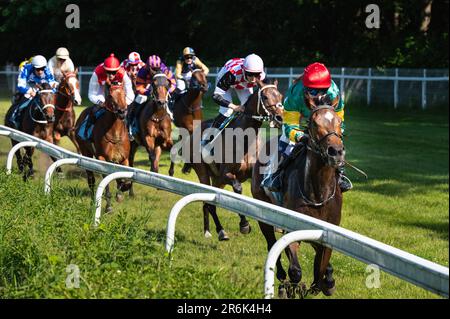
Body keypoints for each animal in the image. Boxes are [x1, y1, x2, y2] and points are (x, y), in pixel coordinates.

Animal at [74, 83, 131, 212]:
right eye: (110, 95)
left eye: (124, 94)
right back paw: (92, 202)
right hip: (86, 152)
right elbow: (106, 181)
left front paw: (122, 190)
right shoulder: (102, 158)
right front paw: (108, 206)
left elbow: (123, 178)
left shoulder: (124, 158)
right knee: (91, 180)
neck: (115, 134)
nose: (122, 112)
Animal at [185, 79, 284, 241]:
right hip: (204, 173)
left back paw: (209, 230)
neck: (245, 139)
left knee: (209, 202)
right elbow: (238, 190)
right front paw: (244, 225)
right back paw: (218, 231)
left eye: (280, 95)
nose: (279, 118)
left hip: (217, 179)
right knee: (209, 202)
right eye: (265, 97)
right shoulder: (227, 174)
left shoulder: (252, 174)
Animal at [251, 96, 342, 298]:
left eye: (339, 121)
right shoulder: (292, 226)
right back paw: (281, 275)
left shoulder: (327, 232)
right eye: (314, 123)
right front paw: (290, 287)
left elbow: (322, 265)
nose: (336, 151)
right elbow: (295, 270)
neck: (318, 193)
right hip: (263, 212)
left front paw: (327, 281)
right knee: (271, 243)